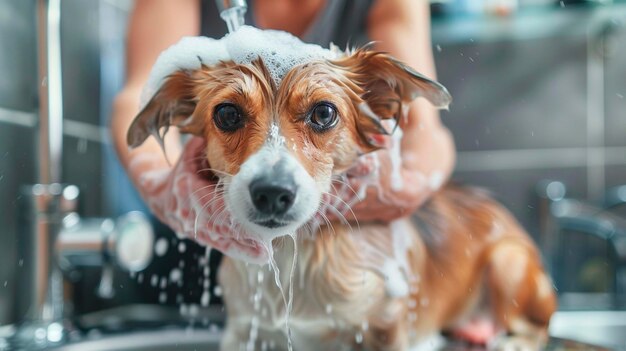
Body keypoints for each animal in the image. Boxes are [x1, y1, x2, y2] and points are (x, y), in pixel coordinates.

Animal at [128, 47, 556, 351]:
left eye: (323, 113)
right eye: (228, 114)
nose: (272, 193)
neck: (293, 254)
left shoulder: (385, 327)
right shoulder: (245, 329)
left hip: (508, 263)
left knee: (540, 324)